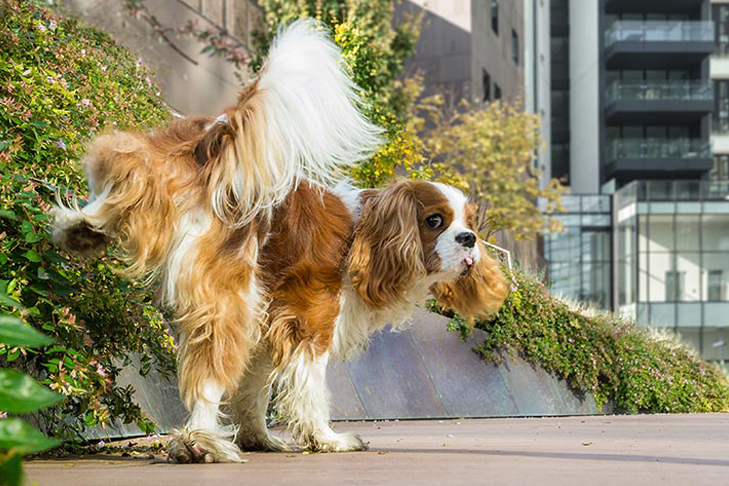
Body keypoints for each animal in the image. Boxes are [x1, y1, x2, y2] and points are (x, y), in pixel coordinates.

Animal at [51, 19, 506, 464]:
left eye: (469, 222)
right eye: (435, 221)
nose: (469, 239)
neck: (365, 235)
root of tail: (217, 140)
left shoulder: (269, 326)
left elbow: (254, 390)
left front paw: (258, 437)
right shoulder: (312, 321)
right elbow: (309, 390)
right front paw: (326, 439)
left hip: (162, 177)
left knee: (124, 168)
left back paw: (80, 229)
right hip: (232, 298)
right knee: (209, 374)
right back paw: (200, 442)